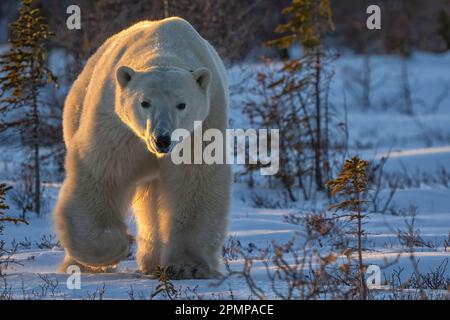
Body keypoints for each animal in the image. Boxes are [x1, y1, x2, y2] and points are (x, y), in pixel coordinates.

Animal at [53, 16, 232, 278]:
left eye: (182, 104)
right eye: (144, 102)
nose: (162, 139)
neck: (164, 50)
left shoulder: (201, 128)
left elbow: (195, 181)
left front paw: (187, 266)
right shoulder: (117, 128)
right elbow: (102, 176)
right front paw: (119, 244)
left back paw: (152, 261)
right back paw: (78, 266)